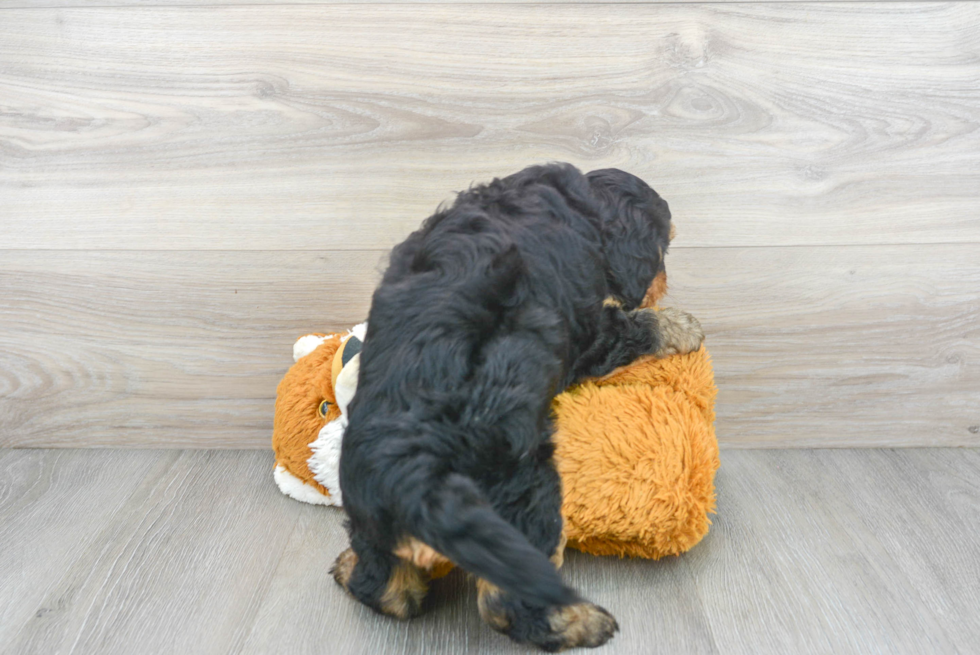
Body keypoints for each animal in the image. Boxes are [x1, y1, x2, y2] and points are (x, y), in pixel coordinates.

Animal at [334, 164, 700, 652]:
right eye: (663, 251)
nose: (661, 284)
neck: (580, 205)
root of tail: (413, 472)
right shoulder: (589, 336)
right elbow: (628, 329)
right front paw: (681, 325)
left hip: (369, 509)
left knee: (386, 589)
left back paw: (349, 568)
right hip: (521, 494)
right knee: (506, 601)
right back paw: (580, 624)